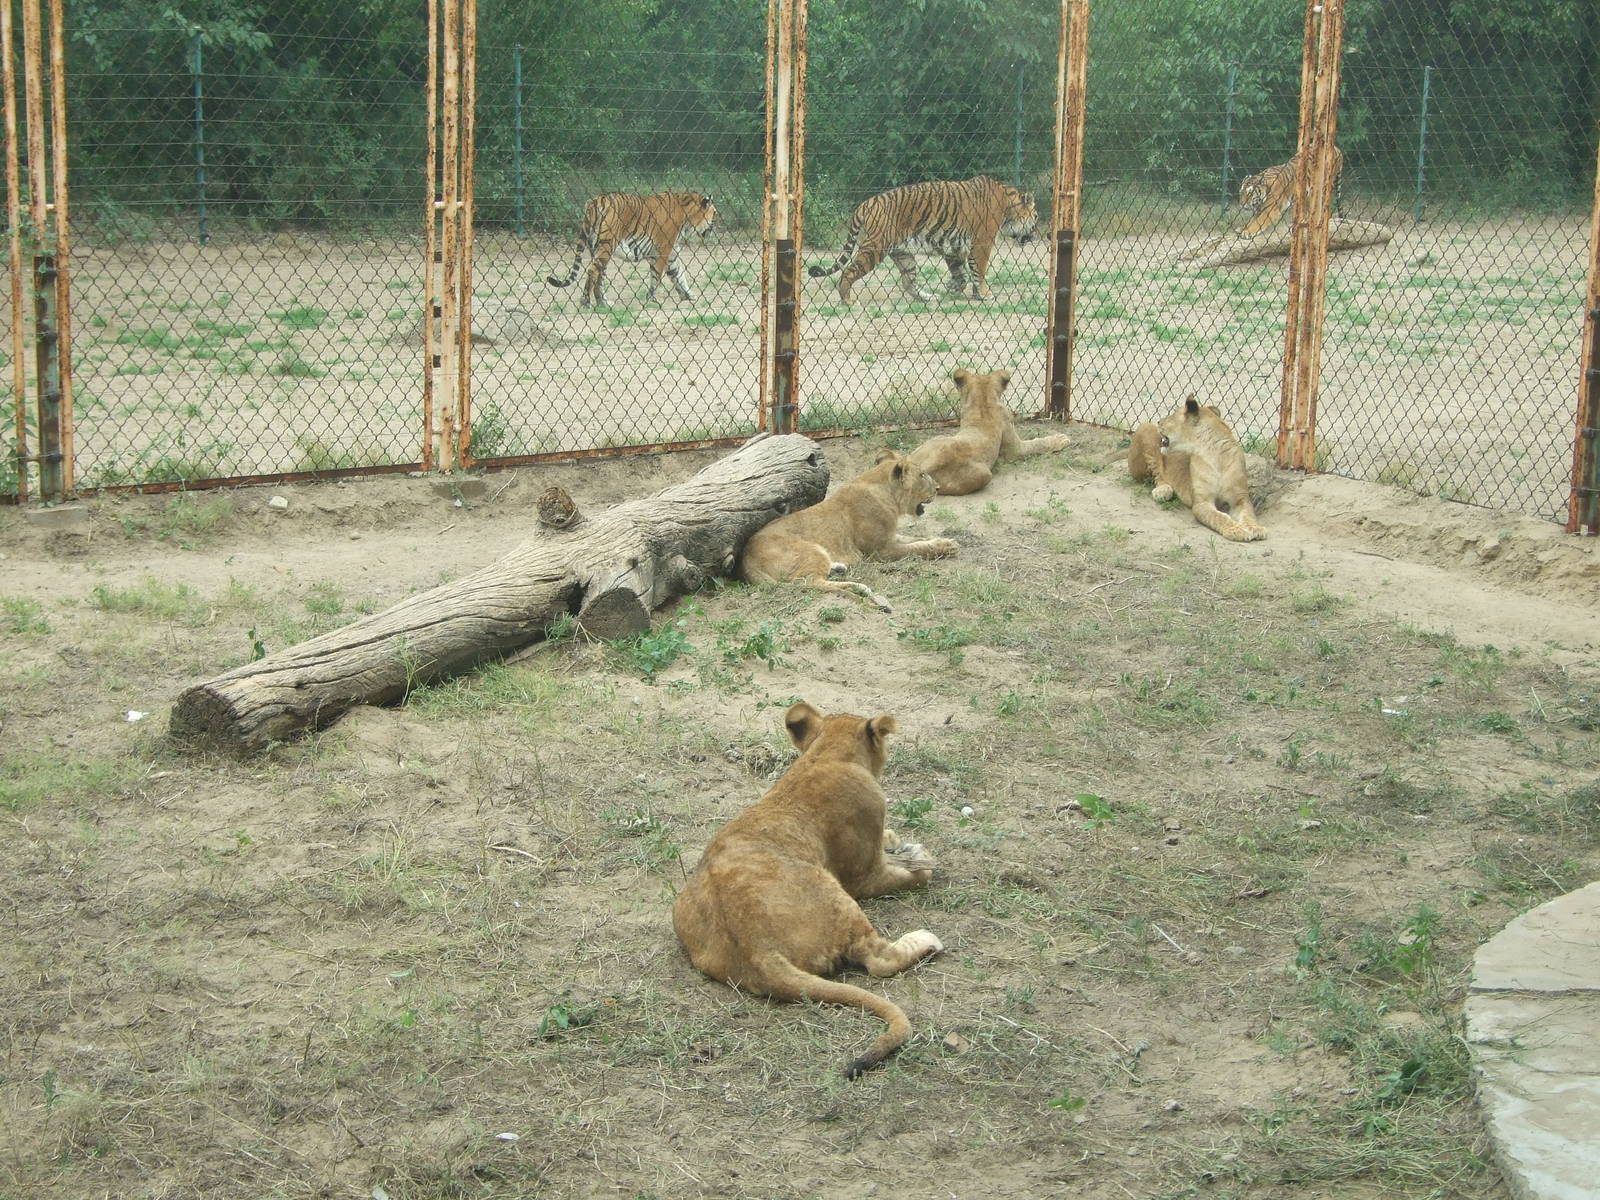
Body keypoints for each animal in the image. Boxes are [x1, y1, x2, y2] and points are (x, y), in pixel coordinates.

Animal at [546, 191, 717, 308]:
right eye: (714, 213)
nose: (715, 226)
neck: (687, 219)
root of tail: (595, 200)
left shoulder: (671, 254)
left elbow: (679, 275)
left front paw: (688, 295)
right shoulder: (662, 251)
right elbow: (657, 276)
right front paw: (652, 299)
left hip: (598, 248)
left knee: (599, 276)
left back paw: (603, 302)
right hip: (607, 246)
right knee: (592, 271)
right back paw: (586, 302)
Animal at [807, 175, 1039, 305]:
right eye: (1036, 217)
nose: (1036, 235)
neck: (1009, 205)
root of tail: (865, 203)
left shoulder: (954, 246)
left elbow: (962, 272)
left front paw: (958, 288)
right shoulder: (982, 242)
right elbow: (979, 270)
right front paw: (984, 294)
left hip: (903, 254)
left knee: (908, 283)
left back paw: (930, 298)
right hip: (874, 248)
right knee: (848, 272)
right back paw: (847, 300)